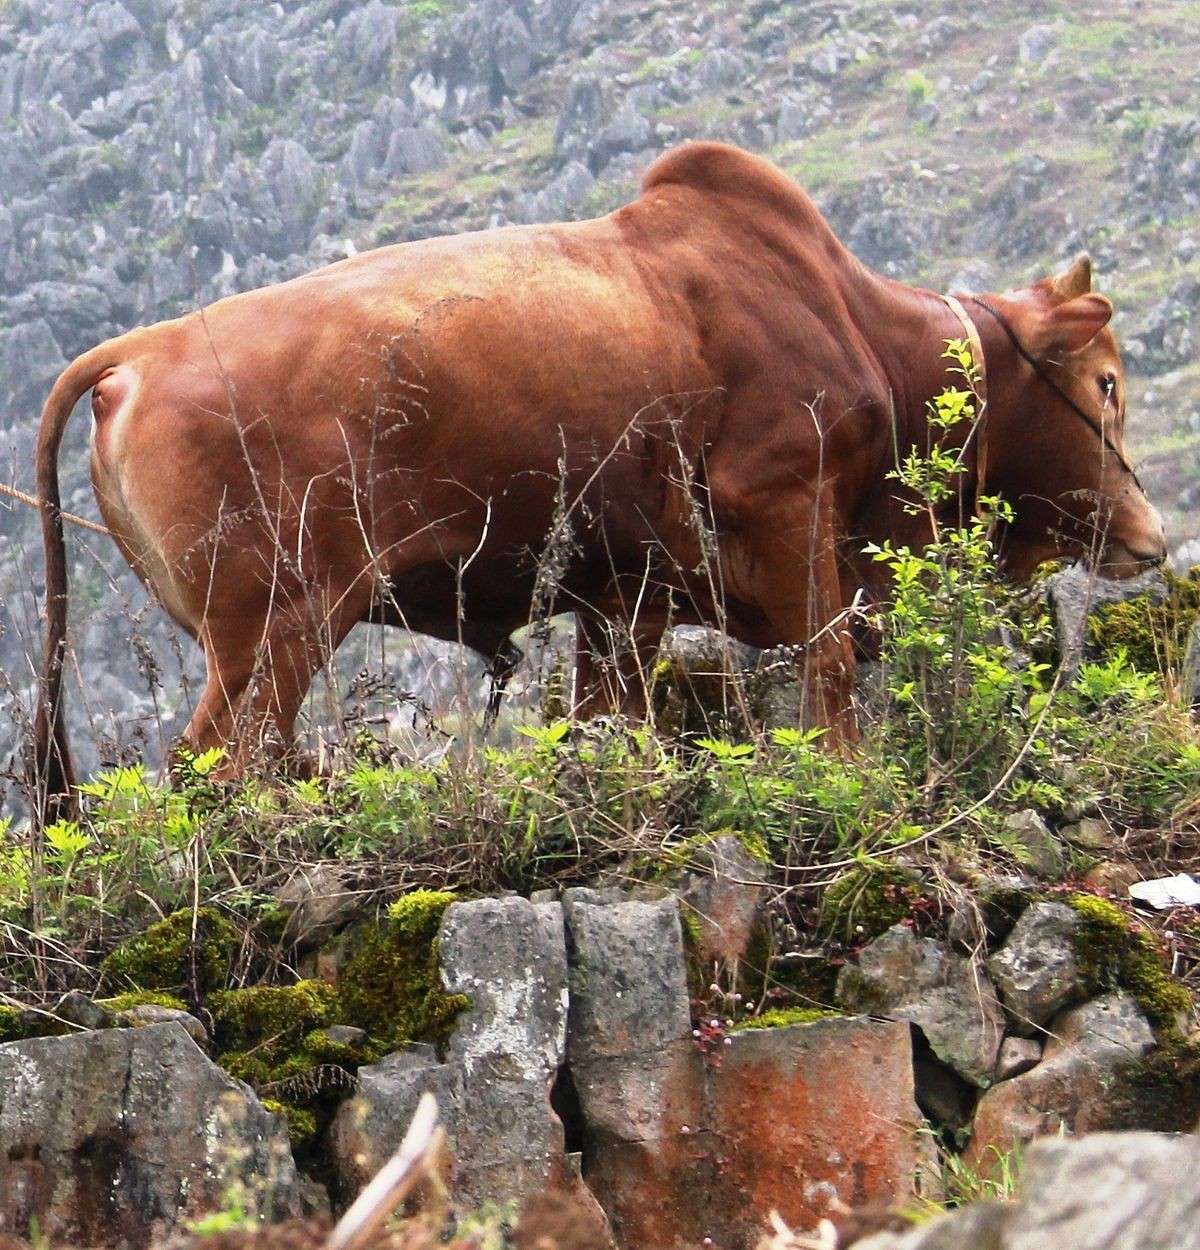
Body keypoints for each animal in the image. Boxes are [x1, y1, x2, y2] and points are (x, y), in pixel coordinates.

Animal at [32, 141, 1165, 825]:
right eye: (1106, 382)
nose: (1153, 538)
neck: (859, 327)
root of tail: (141, 349)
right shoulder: (787, 511)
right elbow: (833, 667)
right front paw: (846, 780)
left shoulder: (629, 596)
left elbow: (609, 726)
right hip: (277, 625)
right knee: (218, 768)